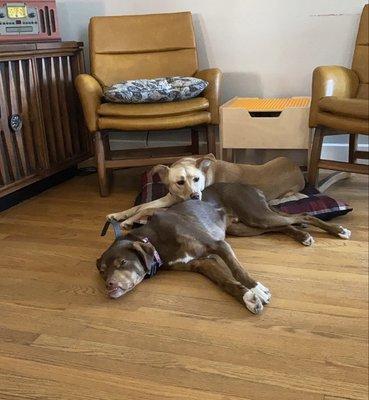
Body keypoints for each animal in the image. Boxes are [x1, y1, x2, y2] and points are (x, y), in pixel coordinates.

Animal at [107, 155, 304, 227]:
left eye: (197, 179)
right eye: (180, 182)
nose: (195, 196)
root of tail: (297, 168)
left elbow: (148, 208)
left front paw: (129, 221)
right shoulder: (171, 197)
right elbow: (142, 205)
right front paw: (119, 215)